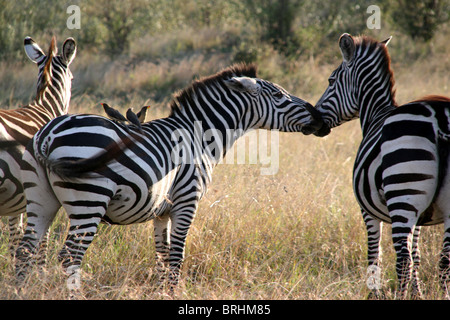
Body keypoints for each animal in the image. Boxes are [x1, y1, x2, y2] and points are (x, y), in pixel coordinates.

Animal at [15, 63, 326, 292]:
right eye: (279, 96)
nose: (320, 118)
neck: (199, 136)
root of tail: (49, 135)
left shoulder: (161, 211)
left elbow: (162, 257)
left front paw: (163, 291)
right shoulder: (187, 201)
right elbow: (177, 256)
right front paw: (174, 292)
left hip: (40, 198)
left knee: (25, 251)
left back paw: (22, 290)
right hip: (89, 200)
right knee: (70, 255)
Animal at [312, 33, 450, 298]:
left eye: (331, 80)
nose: (315, 120)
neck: (376, 112)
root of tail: (439, 119)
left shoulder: (367, 211)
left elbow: (374, 255)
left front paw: (374, 292)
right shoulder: (420, 218)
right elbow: (418, 256)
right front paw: (418, 294)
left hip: (402, 193)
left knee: (403, 260)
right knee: (444, 261)